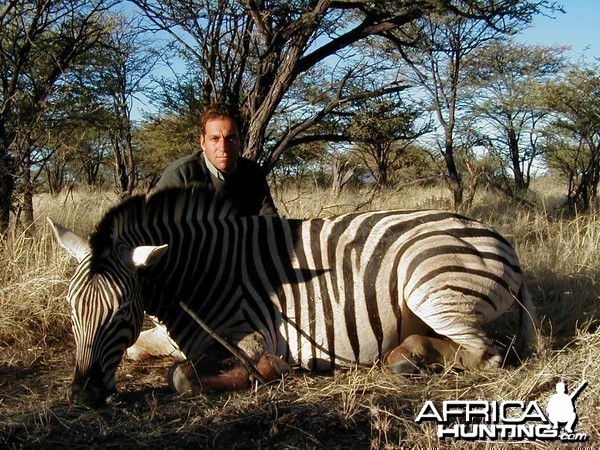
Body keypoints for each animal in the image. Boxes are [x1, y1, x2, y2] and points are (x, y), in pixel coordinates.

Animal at [50, 185, 540, 408]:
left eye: (122, 310)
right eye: (72, 309)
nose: (83, 393)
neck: (200, 272)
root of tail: (501, 238)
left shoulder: (248, 338)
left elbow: (182, 376)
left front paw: (271, 371)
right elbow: (142, 351)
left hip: (429, 287)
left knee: (485, 354)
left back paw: (407, 359)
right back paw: (406, 353)